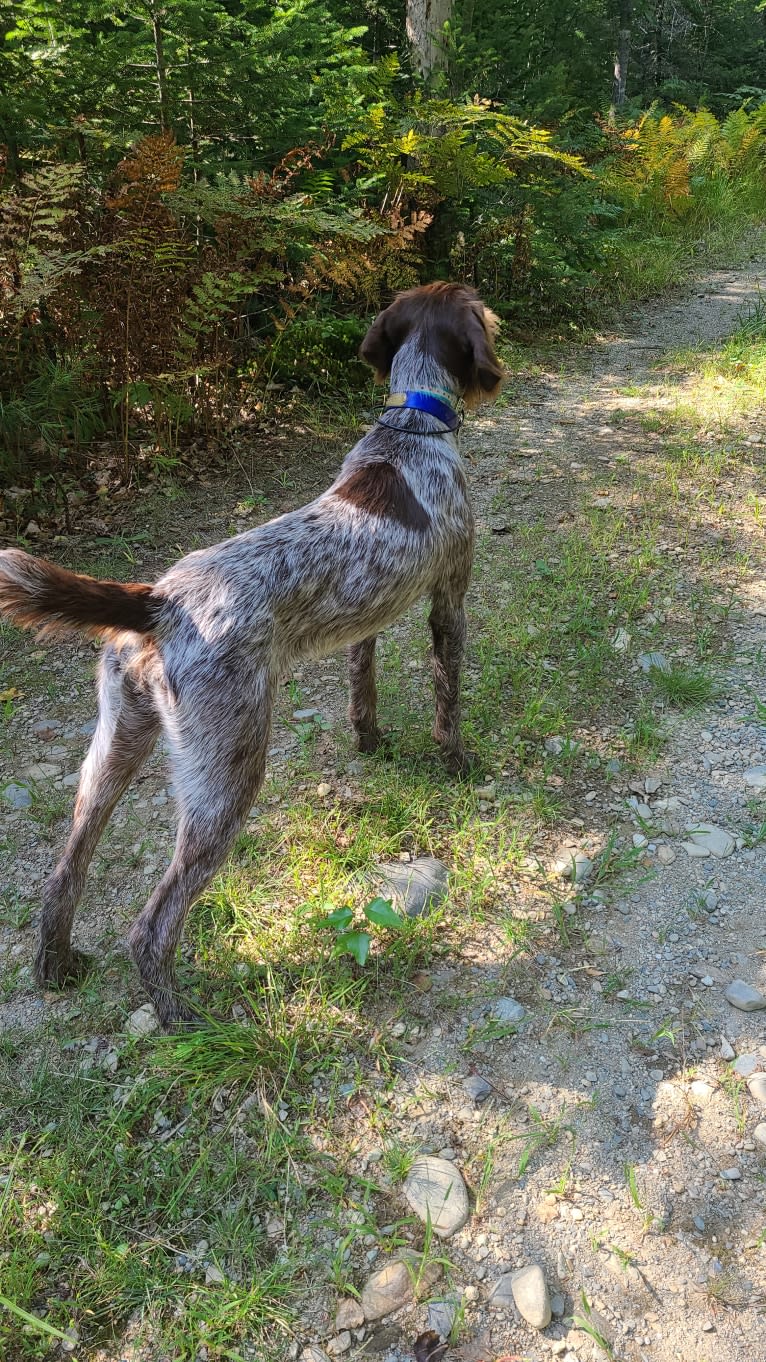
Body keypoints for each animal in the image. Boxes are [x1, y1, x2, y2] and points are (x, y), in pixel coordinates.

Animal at [0, 290, 504, 1029]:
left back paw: (56, 965)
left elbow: (363, 684)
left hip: (113, 749)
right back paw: (181, 1018)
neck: (412, 427)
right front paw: (457, 762)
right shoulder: (450, 595)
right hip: (227, 774)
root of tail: (158, 603)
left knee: (66, 871)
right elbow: (449, 696)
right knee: (152, 925)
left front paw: (370, 741)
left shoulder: (368, 616)